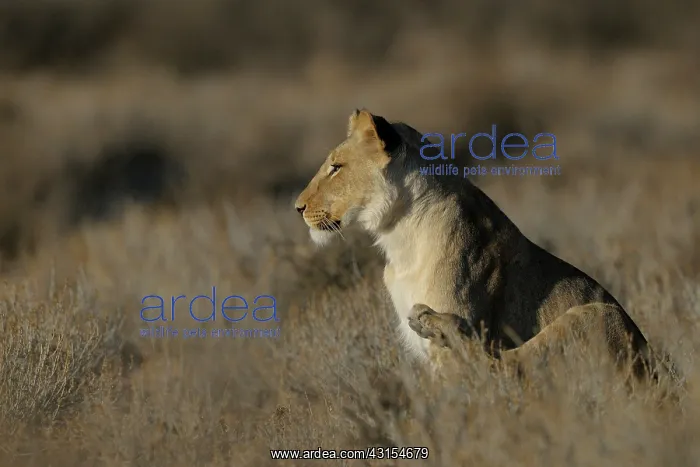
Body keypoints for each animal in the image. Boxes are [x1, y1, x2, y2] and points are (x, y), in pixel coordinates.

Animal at [294, 108, 678, 384]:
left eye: (336, 167)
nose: (297, 207)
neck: (399, 239)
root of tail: (662, 381)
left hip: (600, 314)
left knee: (500, 366)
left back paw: (431, 320)